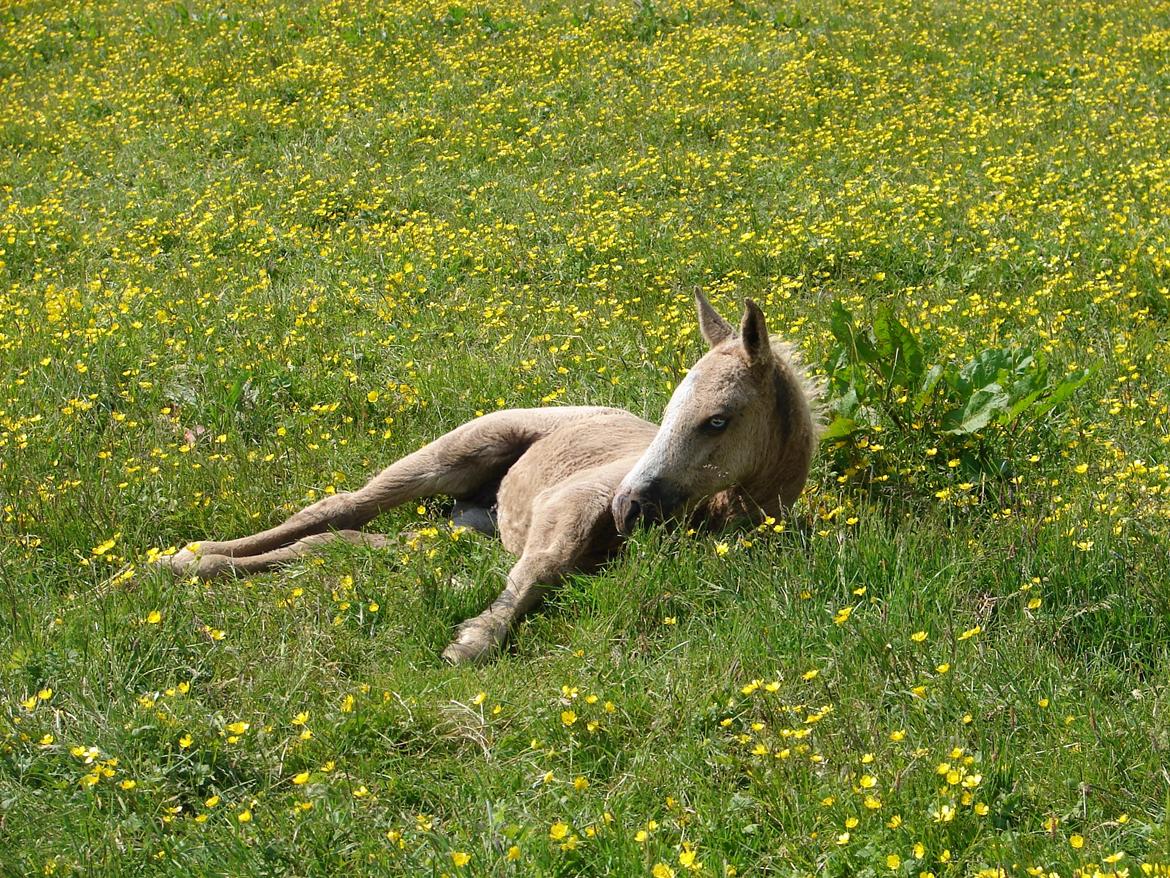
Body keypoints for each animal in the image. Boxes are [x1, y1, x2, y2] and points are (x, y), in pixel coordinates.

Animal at [157, 297, 823, 664]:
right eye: (668, 408)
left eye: (718, 419)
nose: (628, 506)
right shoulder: (569, 503)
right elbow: (542, 567)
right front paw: (475, 639)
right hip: (451, 456)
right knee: (338, 507)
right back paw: (186, 558)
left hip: (458, 533)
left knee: (338, 542)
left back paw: (202, 564)